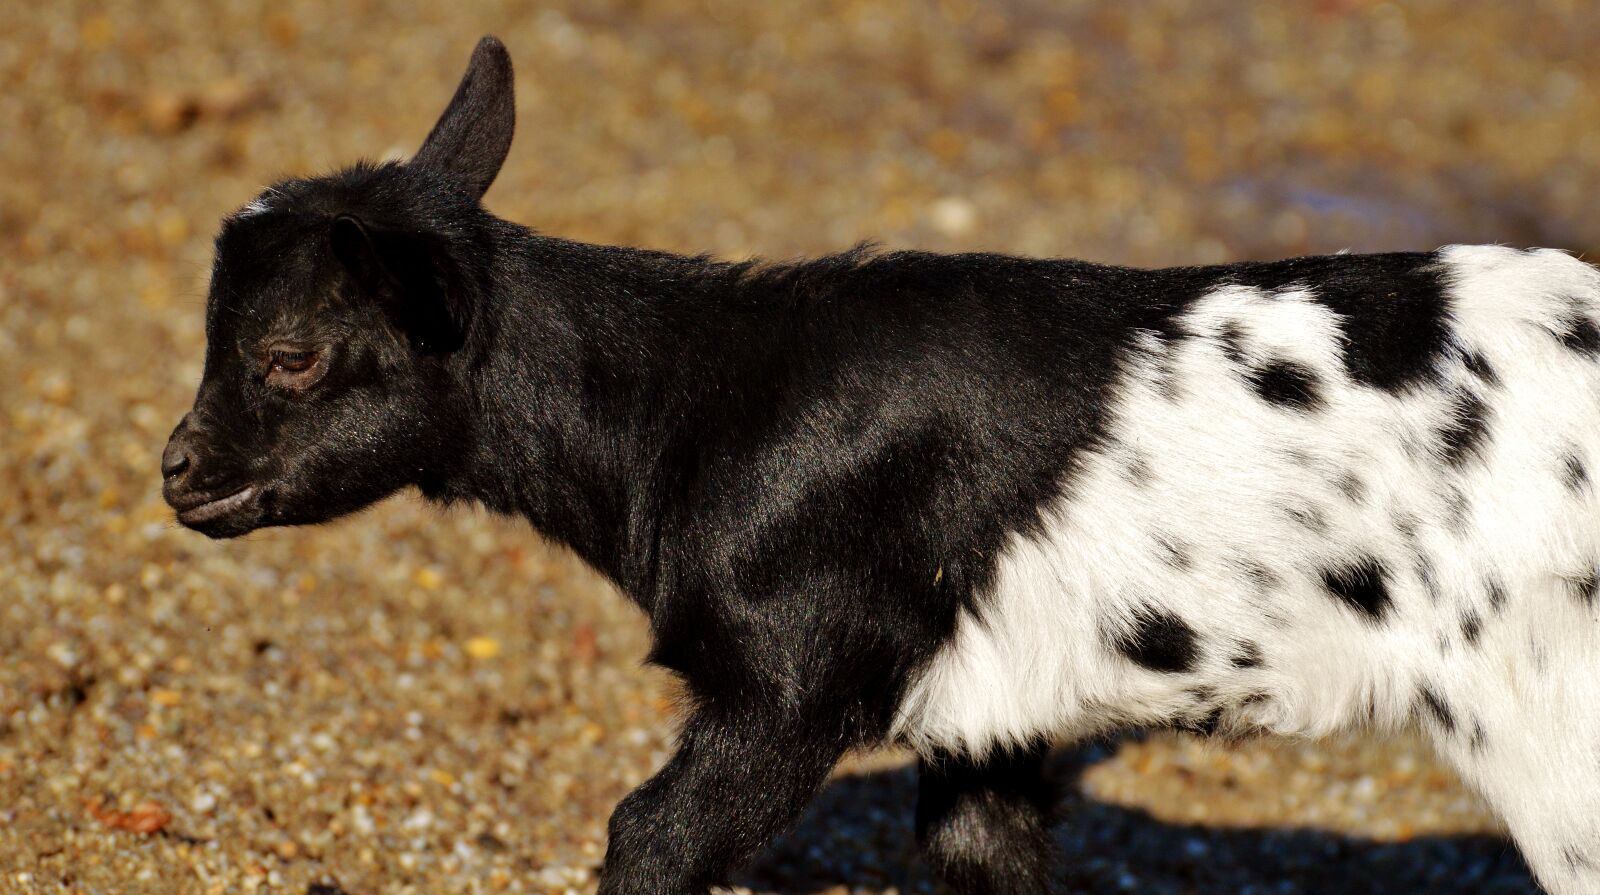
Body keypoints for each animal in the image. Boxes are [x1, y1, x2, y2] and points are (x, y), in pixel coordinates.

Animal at [161, 36, 1600, 895]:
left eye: (288, 354)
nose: (179, 470)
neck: (695, 399)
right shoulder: (989, 719)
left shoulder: (792, 678)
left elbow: (645, 835)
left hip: (1546, 724)